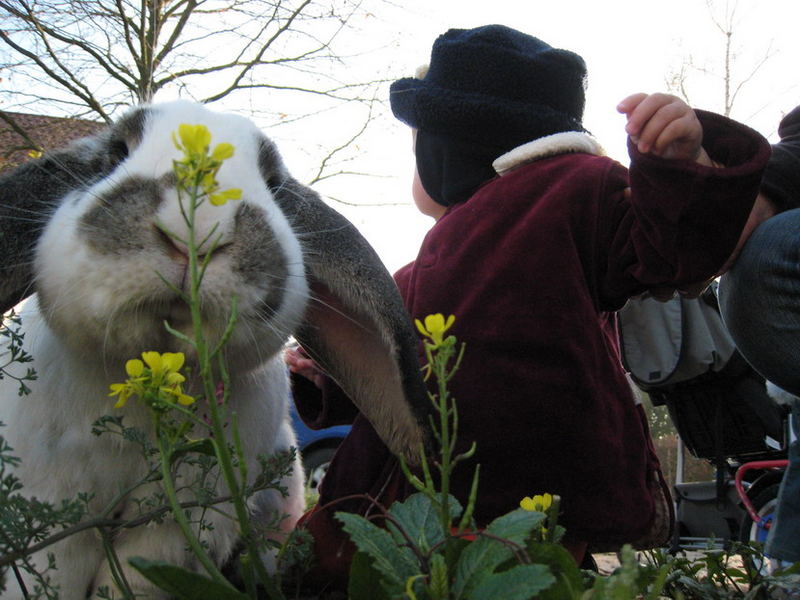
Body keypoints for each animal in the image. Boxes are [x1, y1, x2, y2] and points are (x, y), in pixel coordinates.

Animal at [0, 101, 432, 596]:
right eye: (116, 152)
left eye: (274, 182)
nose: (197, 234)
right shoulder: (55, 513)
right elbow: (49, 579)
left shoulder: (173, 529)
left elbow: (132, 581)